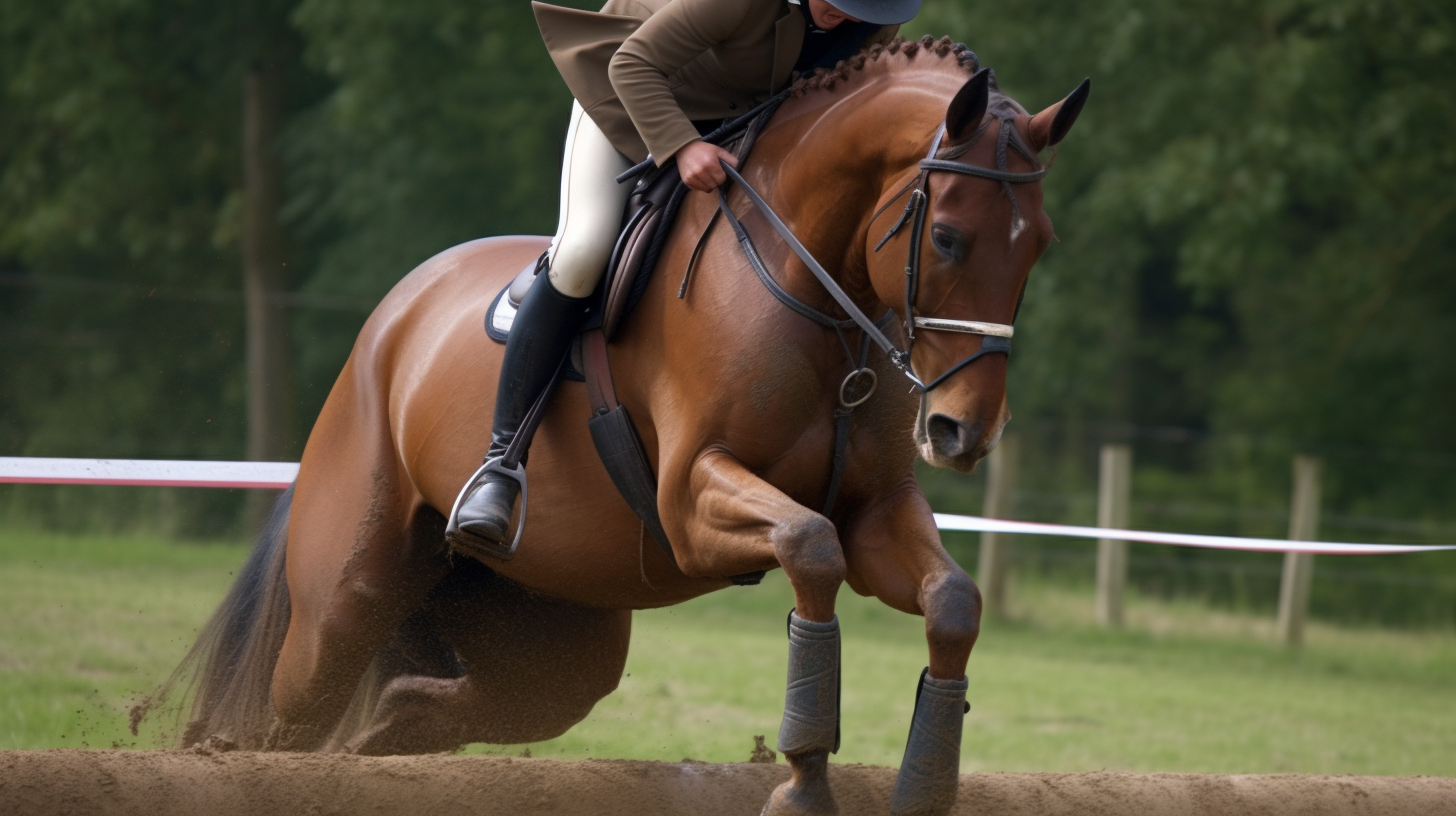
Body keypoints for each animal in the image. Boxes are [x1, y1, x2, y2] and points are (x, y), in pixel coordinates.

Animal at [165, 36, 1089, 816]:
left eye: (1041, 243)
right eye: (949, 237)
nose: (963, 432)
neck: (817, 297)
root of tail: (384, 331)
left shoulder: (876, 512)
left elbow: (952, 602)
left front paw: (924, 785)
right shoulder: (692, 501)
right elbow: (809, 548)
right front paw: (801, 782)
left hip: (549, 649)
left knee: (409, 713)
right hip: (345, 607)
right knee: (288, 723)